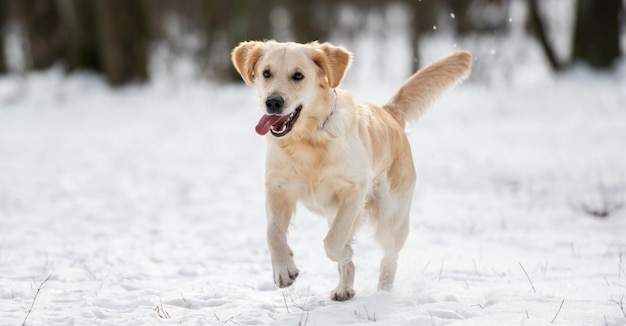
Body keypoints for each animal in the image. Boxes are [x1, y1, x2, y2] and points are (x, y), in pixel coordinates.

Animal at [232, 40, 470, 300]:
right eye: (266, 73)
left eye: (298, 76)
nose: (273, 102)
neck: (310, 138)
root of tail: (389, 113)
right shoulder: (278, 187)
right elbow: (273, 233)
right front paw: (284, 270)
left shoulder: (354, 190)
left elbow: (333, 242)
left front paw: (345, 251)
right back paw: (344, 289)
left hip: (391, 216)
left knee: (389, 256)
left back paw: (383, 292)